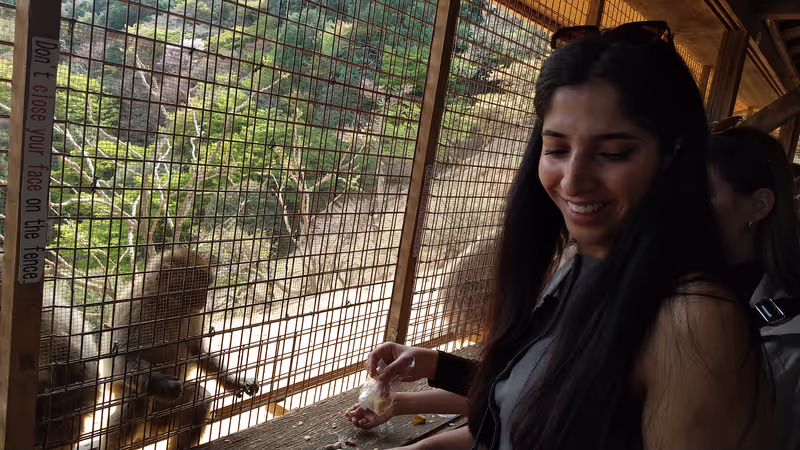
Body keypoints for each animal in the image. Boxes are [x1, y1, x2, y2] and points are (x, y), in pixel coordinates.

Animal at [96, 247, 259, 450]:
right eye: (198, 285)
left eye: (207, 285)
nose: (205, 298)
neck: (168, 306)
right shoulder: (136, 308)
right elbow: (121, 357)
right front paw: (161, 384)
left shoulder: (193, 314)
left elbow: (197, 350)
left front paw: (235, 380)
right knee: (138, 400)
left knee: (199, 398)